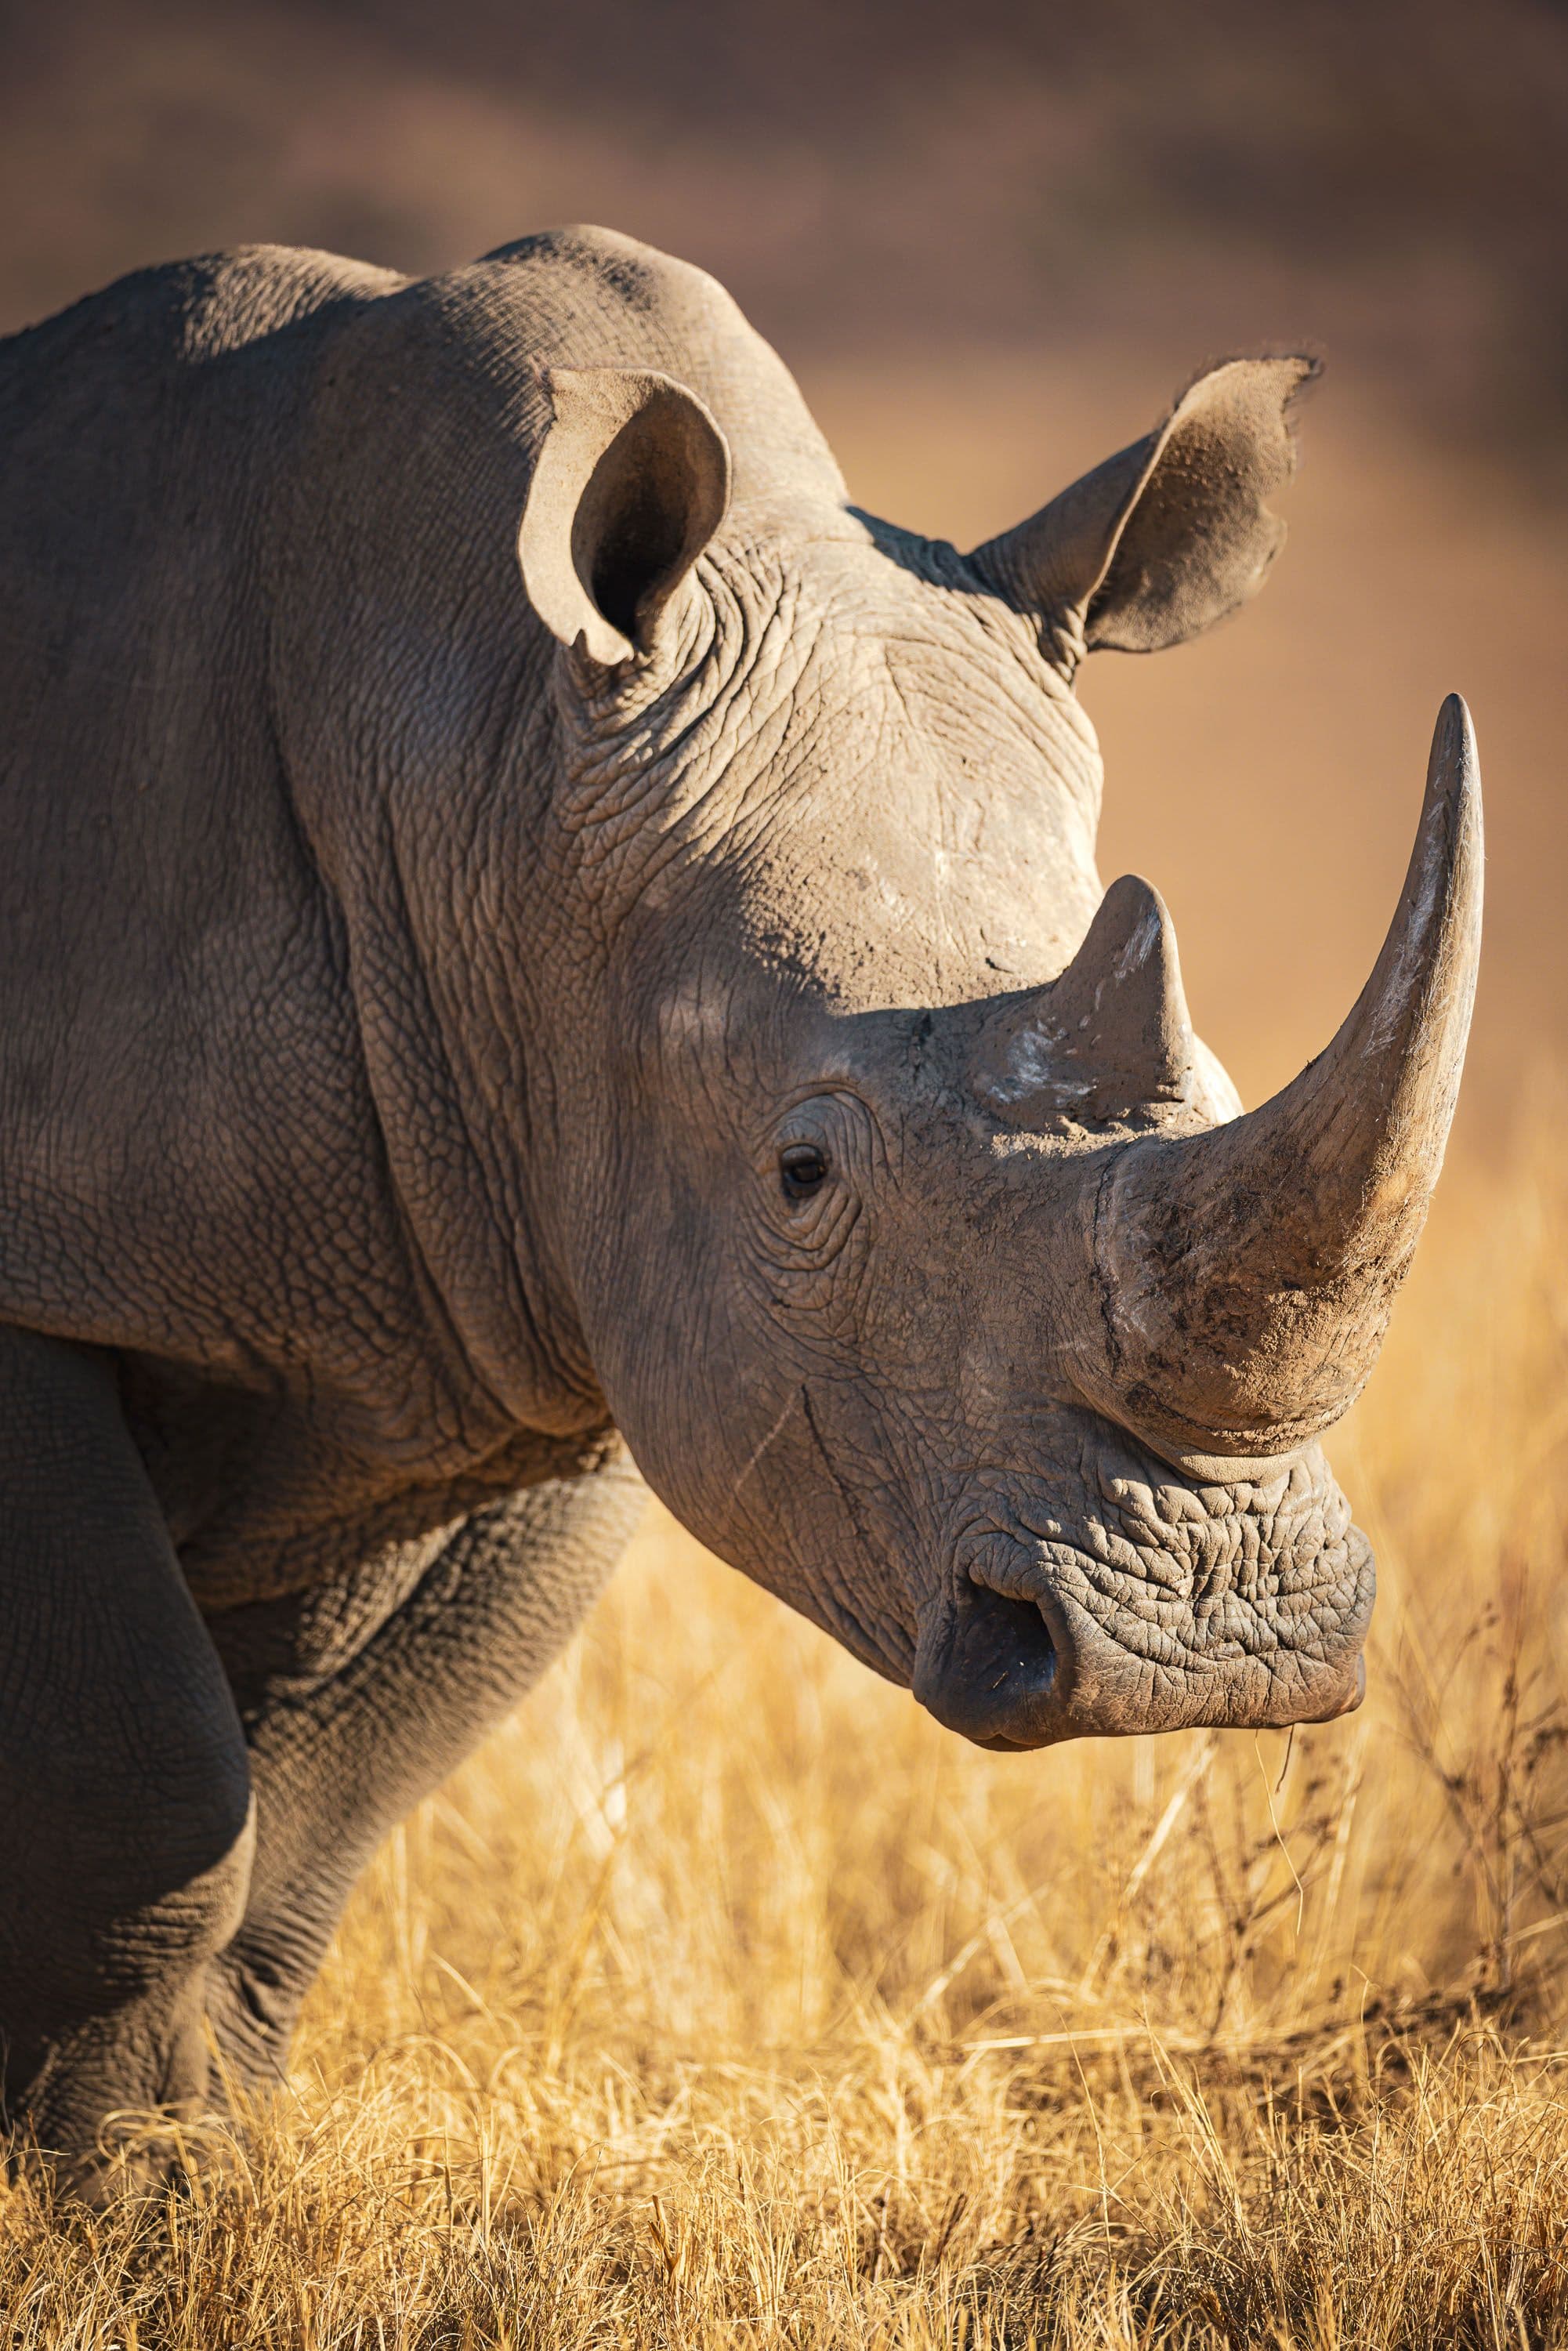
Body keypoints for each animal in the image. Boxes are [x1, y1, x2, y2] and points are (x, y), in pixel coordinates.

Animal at [0, 226, 1480, 2190]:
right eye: (801, 1174)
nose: (1211, 1648)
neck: (476, 756)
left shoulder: (526, 1306)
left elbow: (320, 1788)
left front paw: (195, 2164)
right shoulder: (64, 1263)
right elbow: (140, 1775)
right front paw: (102, 2191)